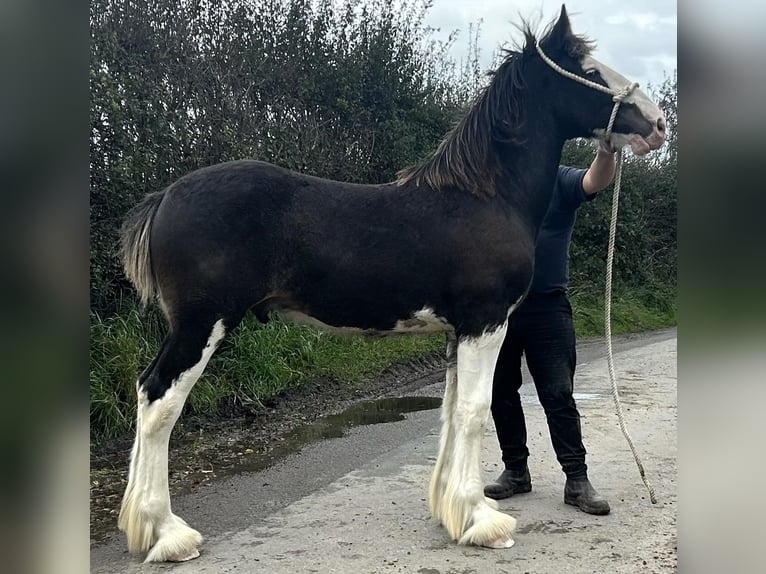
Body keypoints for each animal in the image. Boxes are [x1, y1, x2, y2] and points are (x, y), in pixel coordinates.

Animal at [118, 6, 664, 564]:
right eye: (590, 69)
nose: (658, 123)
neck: (486, 197)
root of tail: (166, 196)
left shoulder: (457, 332)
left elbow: (451, 411)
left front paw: (453, 511)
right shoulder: (485, 324)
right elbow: (474, 411)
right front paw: (482, 523)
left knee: (144, 394)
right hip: (201, 325)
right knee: (160, 403)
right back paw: (168, 534)